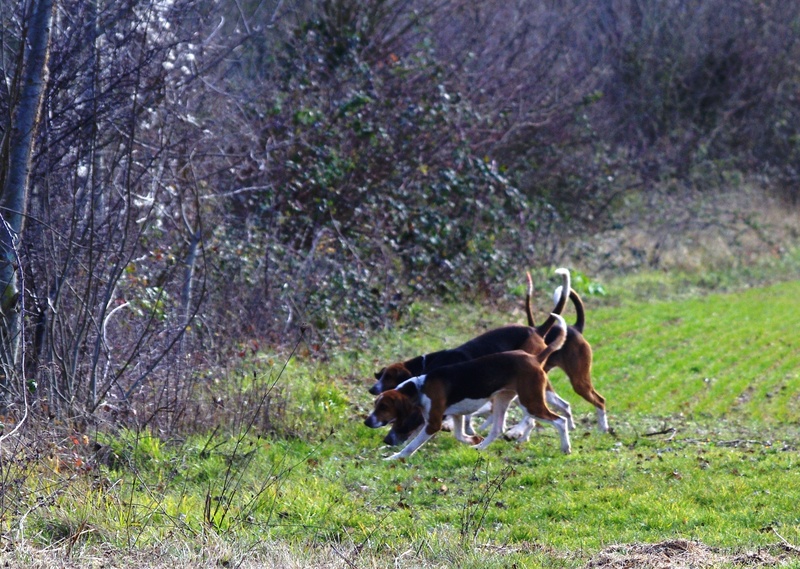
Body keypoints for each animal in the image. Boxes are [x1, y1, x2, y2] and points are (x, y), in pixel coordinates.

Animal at [366, 312, 572, 460]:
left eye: (384, 407)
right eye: (376, 405)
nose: (367, 422)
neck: (418, 387)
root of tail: (535, 358)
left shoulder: (433, 424)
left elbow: (411, 446)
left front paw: (394, 458)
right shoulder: (457, 415)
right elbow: (459, 434)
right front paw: (472, 439)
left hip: (530, 402)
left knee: (559, 421)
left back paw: (565, 447)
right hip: (503, 399)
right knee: (497, 429)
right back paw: (480, 447)